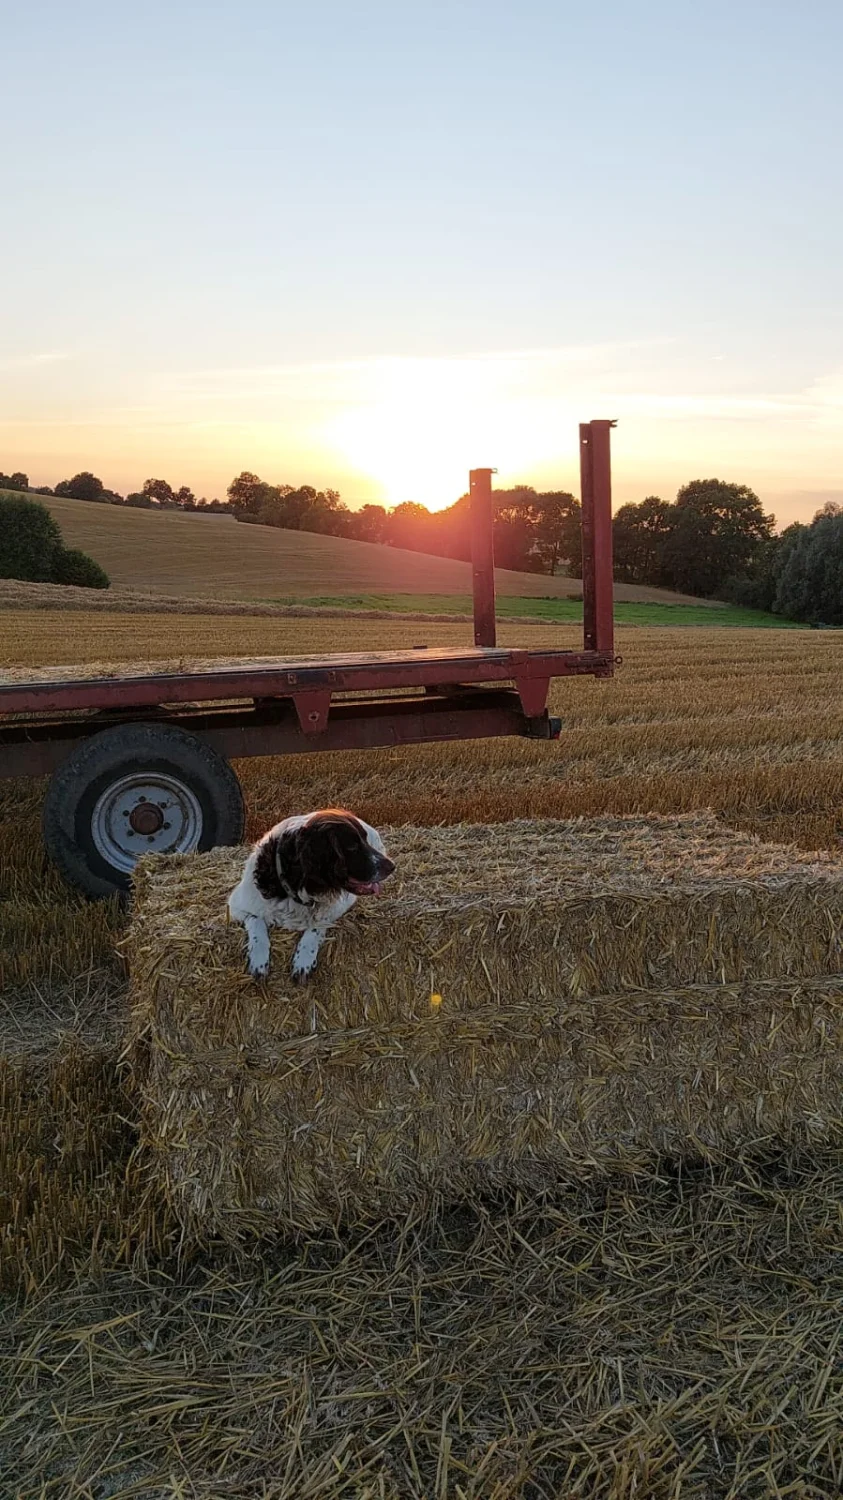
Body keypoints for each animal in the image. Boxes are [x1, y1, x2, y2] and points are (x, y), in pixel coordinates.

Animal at [225, 810, 393, 984]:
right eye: (352, 846)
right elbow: (257, 921)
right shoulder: (237, 905)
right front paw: (258, 959)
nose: (392, 866)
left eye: (365, 840)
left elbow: (316, 926)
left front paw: (303, 959)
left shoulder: (338, 906)